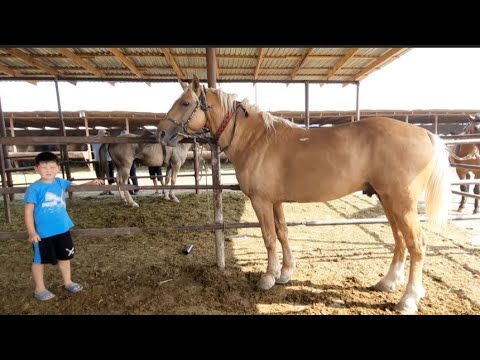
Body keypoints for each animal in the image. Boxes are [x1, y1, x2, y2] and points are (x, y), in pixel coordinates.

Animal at [156, 76, 452, 316]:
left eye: (184, 103)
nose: (160, 133)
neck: (256, 141)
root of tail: (425, 133)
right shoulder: (275, 201)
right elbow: (283, 233)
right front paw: (285, 273)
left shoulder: (261, 201)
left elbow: (269, 238)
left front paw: (268, 278)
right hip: (388, 201)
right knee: (400, 241)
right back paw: (388, 282)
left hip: (402, 204)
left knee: (417, 244)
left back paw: (409, 299)